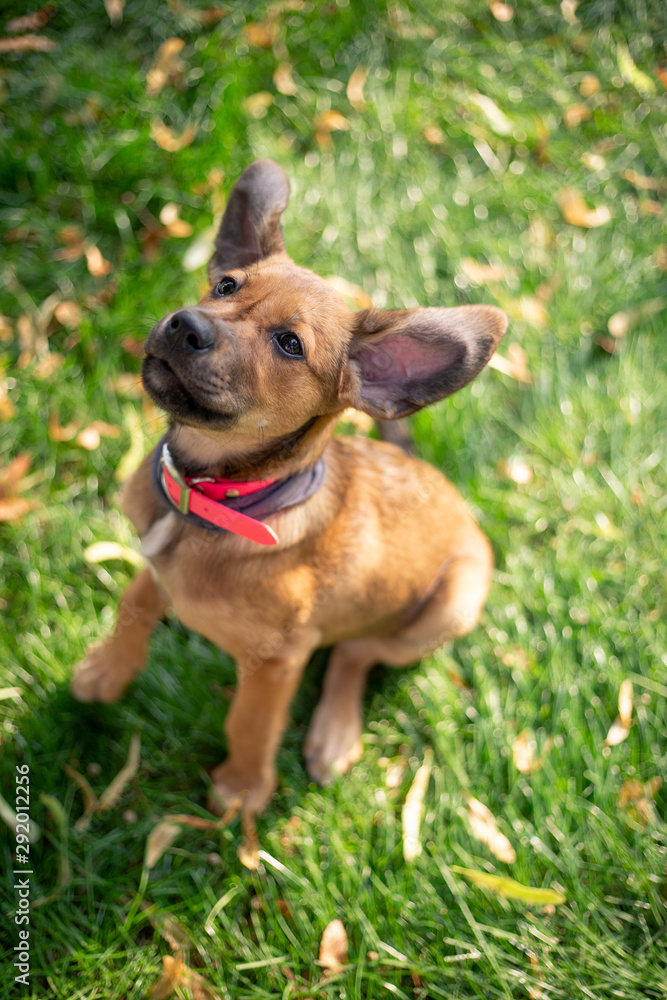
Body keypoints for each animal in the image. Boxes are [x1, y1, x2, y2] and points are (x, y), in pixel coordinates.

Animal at [70, 158, 506, 812]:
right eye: (226, 286)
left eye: (289, 344)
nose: (184, 324)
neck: (210, 501)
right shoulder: (152, 560)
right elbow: (134, 605)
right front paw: (107, 672)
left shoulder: (278, 660)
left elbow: (249, 723)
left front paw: (242, 791)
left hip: (449, 607)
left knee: (356, 651)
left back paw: (333, 733)